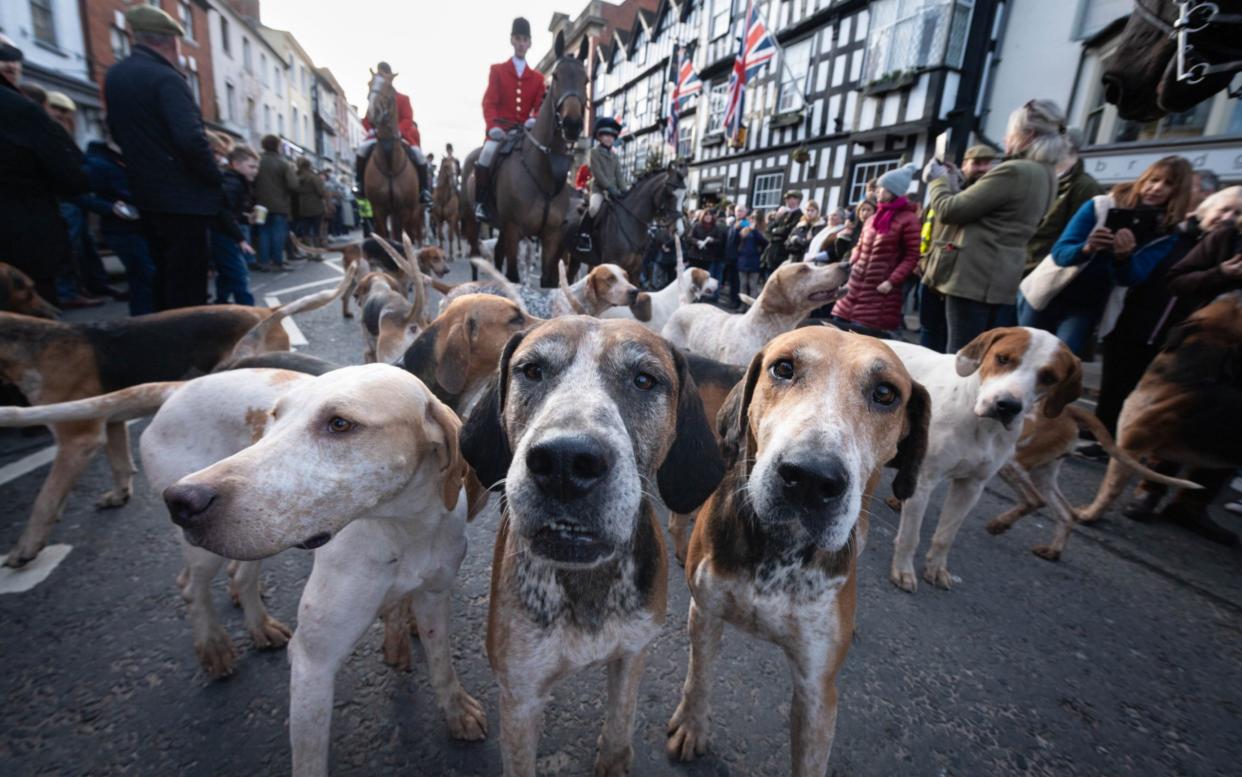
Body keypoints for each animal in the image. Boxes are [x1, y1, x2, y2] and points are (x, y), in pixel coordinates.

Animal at [362, 72, 427, 243]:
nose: (373, 112)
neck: (390, 162)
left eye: (389, 86)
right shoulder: (379, 208)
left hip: (412, 211)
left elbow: (400, 237)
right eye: (369, 83)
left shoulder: (404, 209)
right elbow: (385, 236)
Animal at [462, 31, 586, 284]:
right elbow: (514, 277)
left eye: (586, 80)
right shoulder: (513, 230)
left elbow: (548, 281)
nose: (572, 124)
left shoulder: (551, 237)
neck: (544, 171)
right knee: (476, 258)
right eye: (555, 77)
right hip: (473, 222)